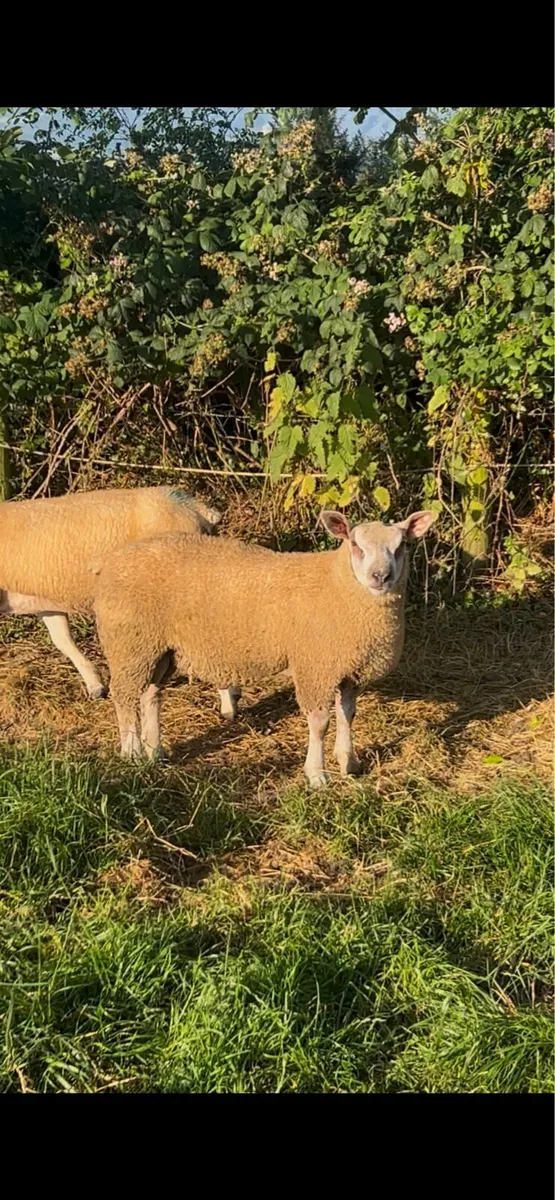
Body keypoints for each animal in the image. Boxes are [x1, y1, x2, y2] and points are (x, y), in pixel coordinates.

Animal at [91, 507, 437, 786]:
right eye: (355, 545)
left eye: (402, 545)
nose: (381, 576)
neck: (339, 586)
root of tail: (113, 561)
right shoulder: (315, 667)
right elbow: (320, 724)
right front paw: (317, 775)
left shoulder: (347, 669)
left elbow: (347, 715)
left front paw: (349, 763)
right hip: (130, 642)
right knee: (124, 697)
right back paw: (132, 752)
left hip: (159, 647)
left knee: (150, 694)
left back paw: (156, 752)